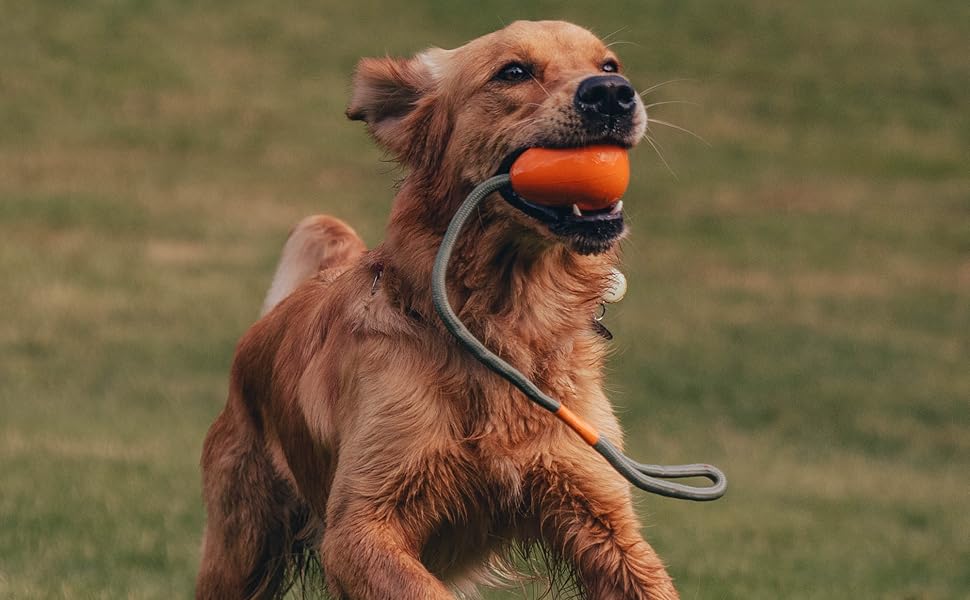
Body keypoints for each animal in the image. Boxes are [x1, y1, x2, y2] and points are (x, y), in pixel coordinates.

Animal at [196, 18, 676, 600]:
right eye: (513, 72)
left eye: (609, 66)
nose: (612, 95)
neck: (500, 330)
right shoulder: (358, 527)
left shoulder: (600, 515)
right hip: (241, 544)